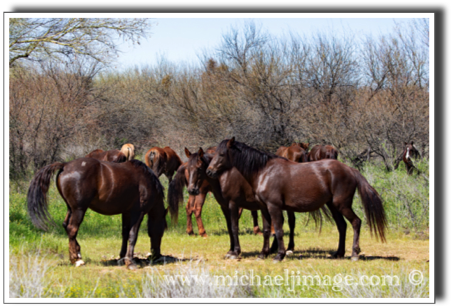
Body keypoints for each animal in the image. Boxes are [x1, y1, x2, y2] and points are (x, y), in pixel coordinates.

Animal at [26, 159, 174, 270]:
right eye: (161, 230)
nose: (156, 255)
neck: (146, 180)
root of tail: (65, 165)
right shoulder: (138, 213)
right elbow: (133, 236)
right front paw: (130, 262)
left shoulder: (126, 213)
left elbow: (125, 234)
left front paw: (122, 257)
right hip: (79, 209)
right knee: (72, 229)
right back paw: (76, 260)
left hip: (70, 209)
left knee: (66, 226)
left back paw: (78, 253)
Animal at [168, 149, 300, 260]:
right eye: (188, 169)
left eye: (199, 167)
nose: (191, 189)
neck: (224, 176)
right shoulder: (225, 207)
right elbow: (230, 227)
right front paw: (231, 250)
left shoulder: (234, 204)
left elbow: (234, 227)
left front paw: (236, 251)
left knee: (291, 222)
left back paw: (289, 248)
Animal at [205, 139, 386, 262]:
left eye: (221, 154)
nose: (209, 171)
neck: (264, 171)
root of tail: (350, 169)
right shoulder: (264, 208)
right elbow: (266, 230)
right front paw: (263, 254)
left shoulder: (274, 207)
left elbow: (278, 230)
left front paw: (279, 255)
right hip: (333, 206)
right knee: (342, 226)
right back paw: (339, 253)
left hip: (342, 205)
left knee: (356, 222)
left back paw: (354, 253)